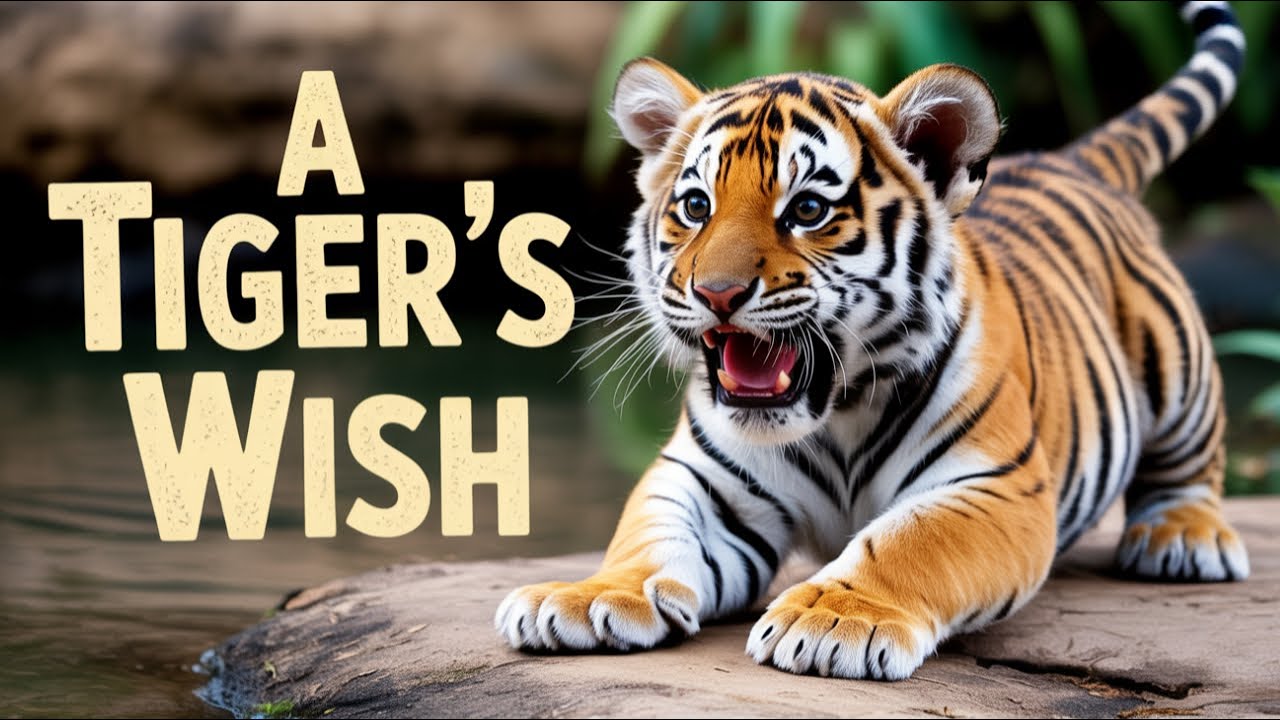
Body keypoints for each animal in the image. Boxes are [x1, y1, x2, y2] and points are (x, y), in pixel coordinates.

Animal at [495, 0, 1249, 680]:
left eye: (807, 209)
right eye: (696, 206)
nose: (717, 294)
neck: (837, 413)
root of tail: (1070, 159)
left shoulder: (994, 485)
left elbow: (912, 542)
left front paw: (833, 621)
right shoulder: (701, 478)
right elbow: (646, 535)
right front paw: (588, 598)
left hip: (1178, 366)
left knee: (1192, 464)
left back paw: (1182, 540)